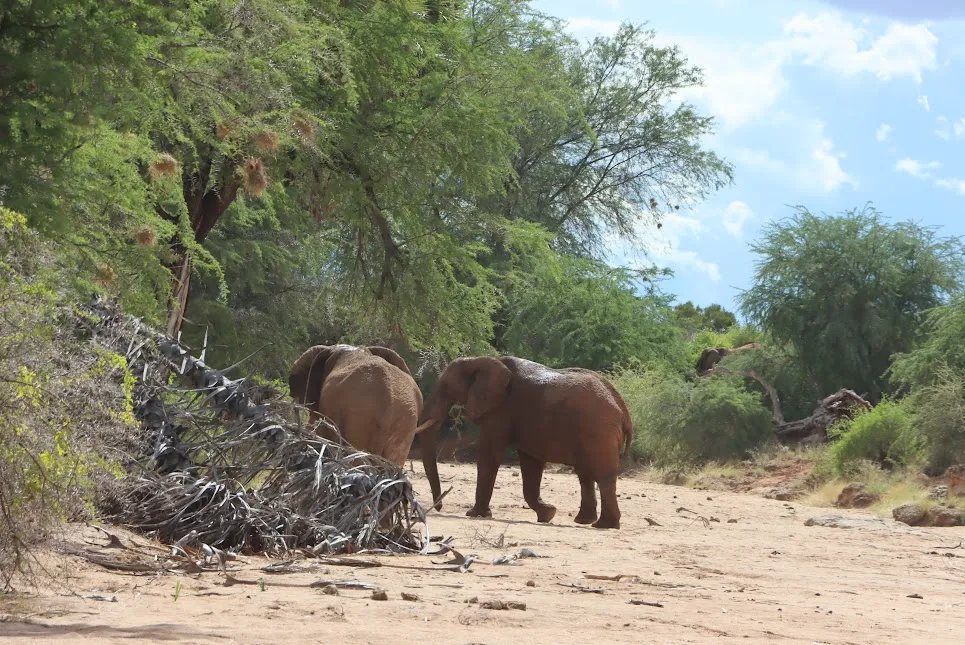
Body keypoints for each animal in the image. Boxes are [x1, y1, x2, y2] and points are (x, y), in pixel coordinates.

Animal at [414, 358, 632, 528]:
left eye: (445, 388)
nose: (439, 507)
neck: (479, 360)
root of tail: (623, 408)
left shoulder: (500, 411)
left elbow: (489, 456)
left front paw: (474, 514)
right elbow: (530, 464)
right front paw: (548, 514)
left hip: (599, 430)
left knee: (603, 474)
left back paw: (604, 525)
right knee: (585, 474)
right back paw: (584, 521)